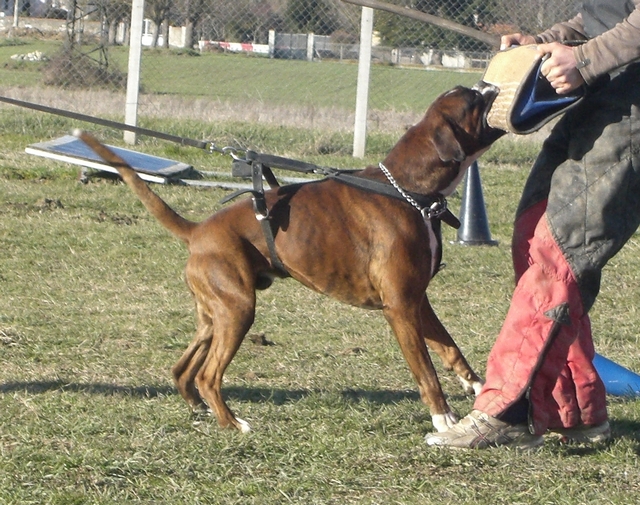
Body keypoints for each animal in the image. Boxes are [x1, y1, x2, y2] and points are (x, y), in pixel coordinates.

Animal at [76, 84, 504, 432]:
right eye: (473, 100)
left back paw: (200, 408)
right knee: (208, 376)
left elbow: (449, 347)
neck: (409, 189)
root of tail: (198, 231)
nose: (491, 84)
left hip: (215, 314)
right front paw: (443, 417)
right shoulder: (400, 307)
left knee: (184, 368)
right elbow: (426, 370)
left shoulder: (417, 300)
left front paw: (479, 385)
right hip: (238, 310)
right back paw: (233, 424)